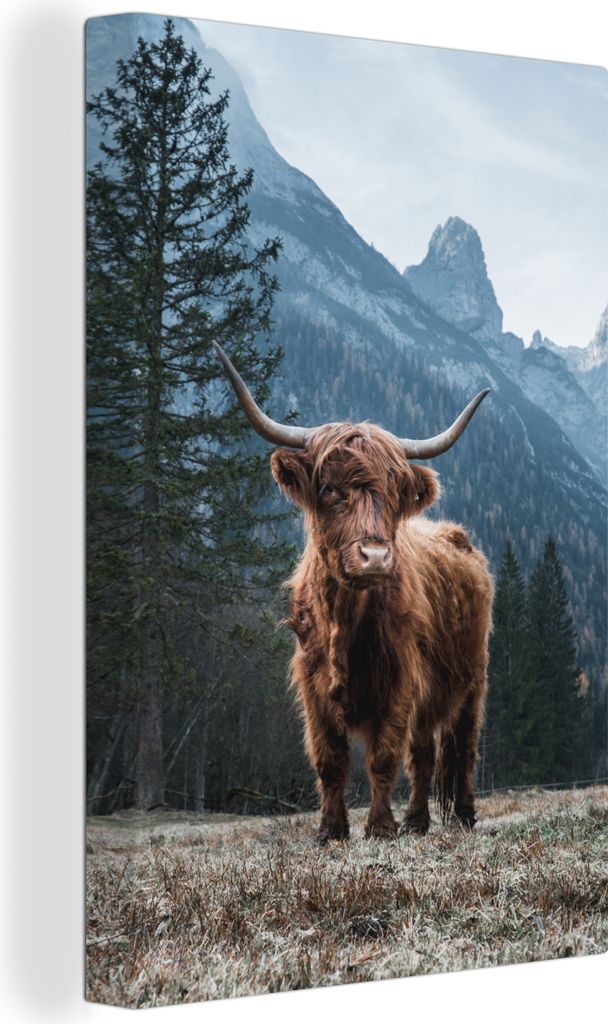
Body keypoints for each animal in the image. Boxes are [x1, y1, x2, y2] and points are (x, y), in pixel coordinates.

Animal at [214, 342, 494, 844]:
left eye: (394, 492)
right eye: (328, 488)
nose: (376, 557)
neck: (343, 620)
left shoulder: (400, 681)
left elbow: (382, 758)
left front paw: (380, 827)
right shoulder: (313, 686)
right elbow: (330, 760)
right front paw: (331, 830)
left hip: (472, 679)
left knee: (462, 747)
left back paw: (460, 816)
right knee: (424, 754)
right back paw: (417, 822)